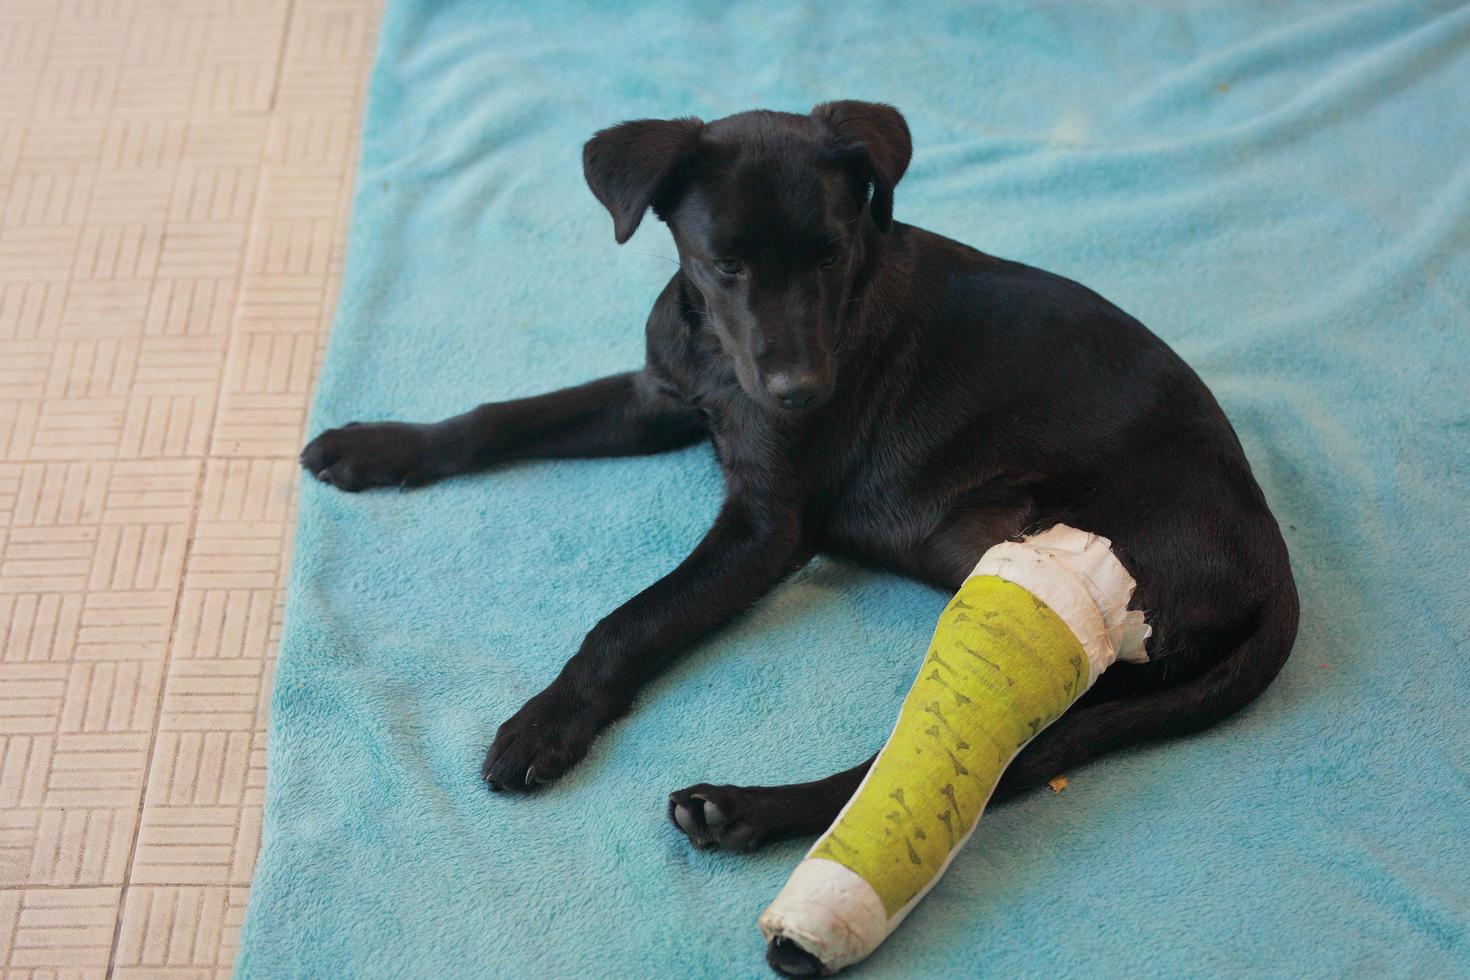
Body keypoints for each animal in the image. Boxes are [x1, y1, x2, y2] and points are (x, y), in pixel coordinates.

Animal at [301, 103, 1299, 975]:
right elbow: (505, 416)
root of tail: (1273, 561)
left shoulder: (765, 527)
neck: (719, 356)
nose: (799, 392)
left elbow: (631, 619)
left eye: (831, 253)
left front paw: (548, 720)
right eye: (724, 264)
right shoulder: (658, 394)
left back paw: (746, 812)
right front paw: (380, 447)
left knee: (974, 760)